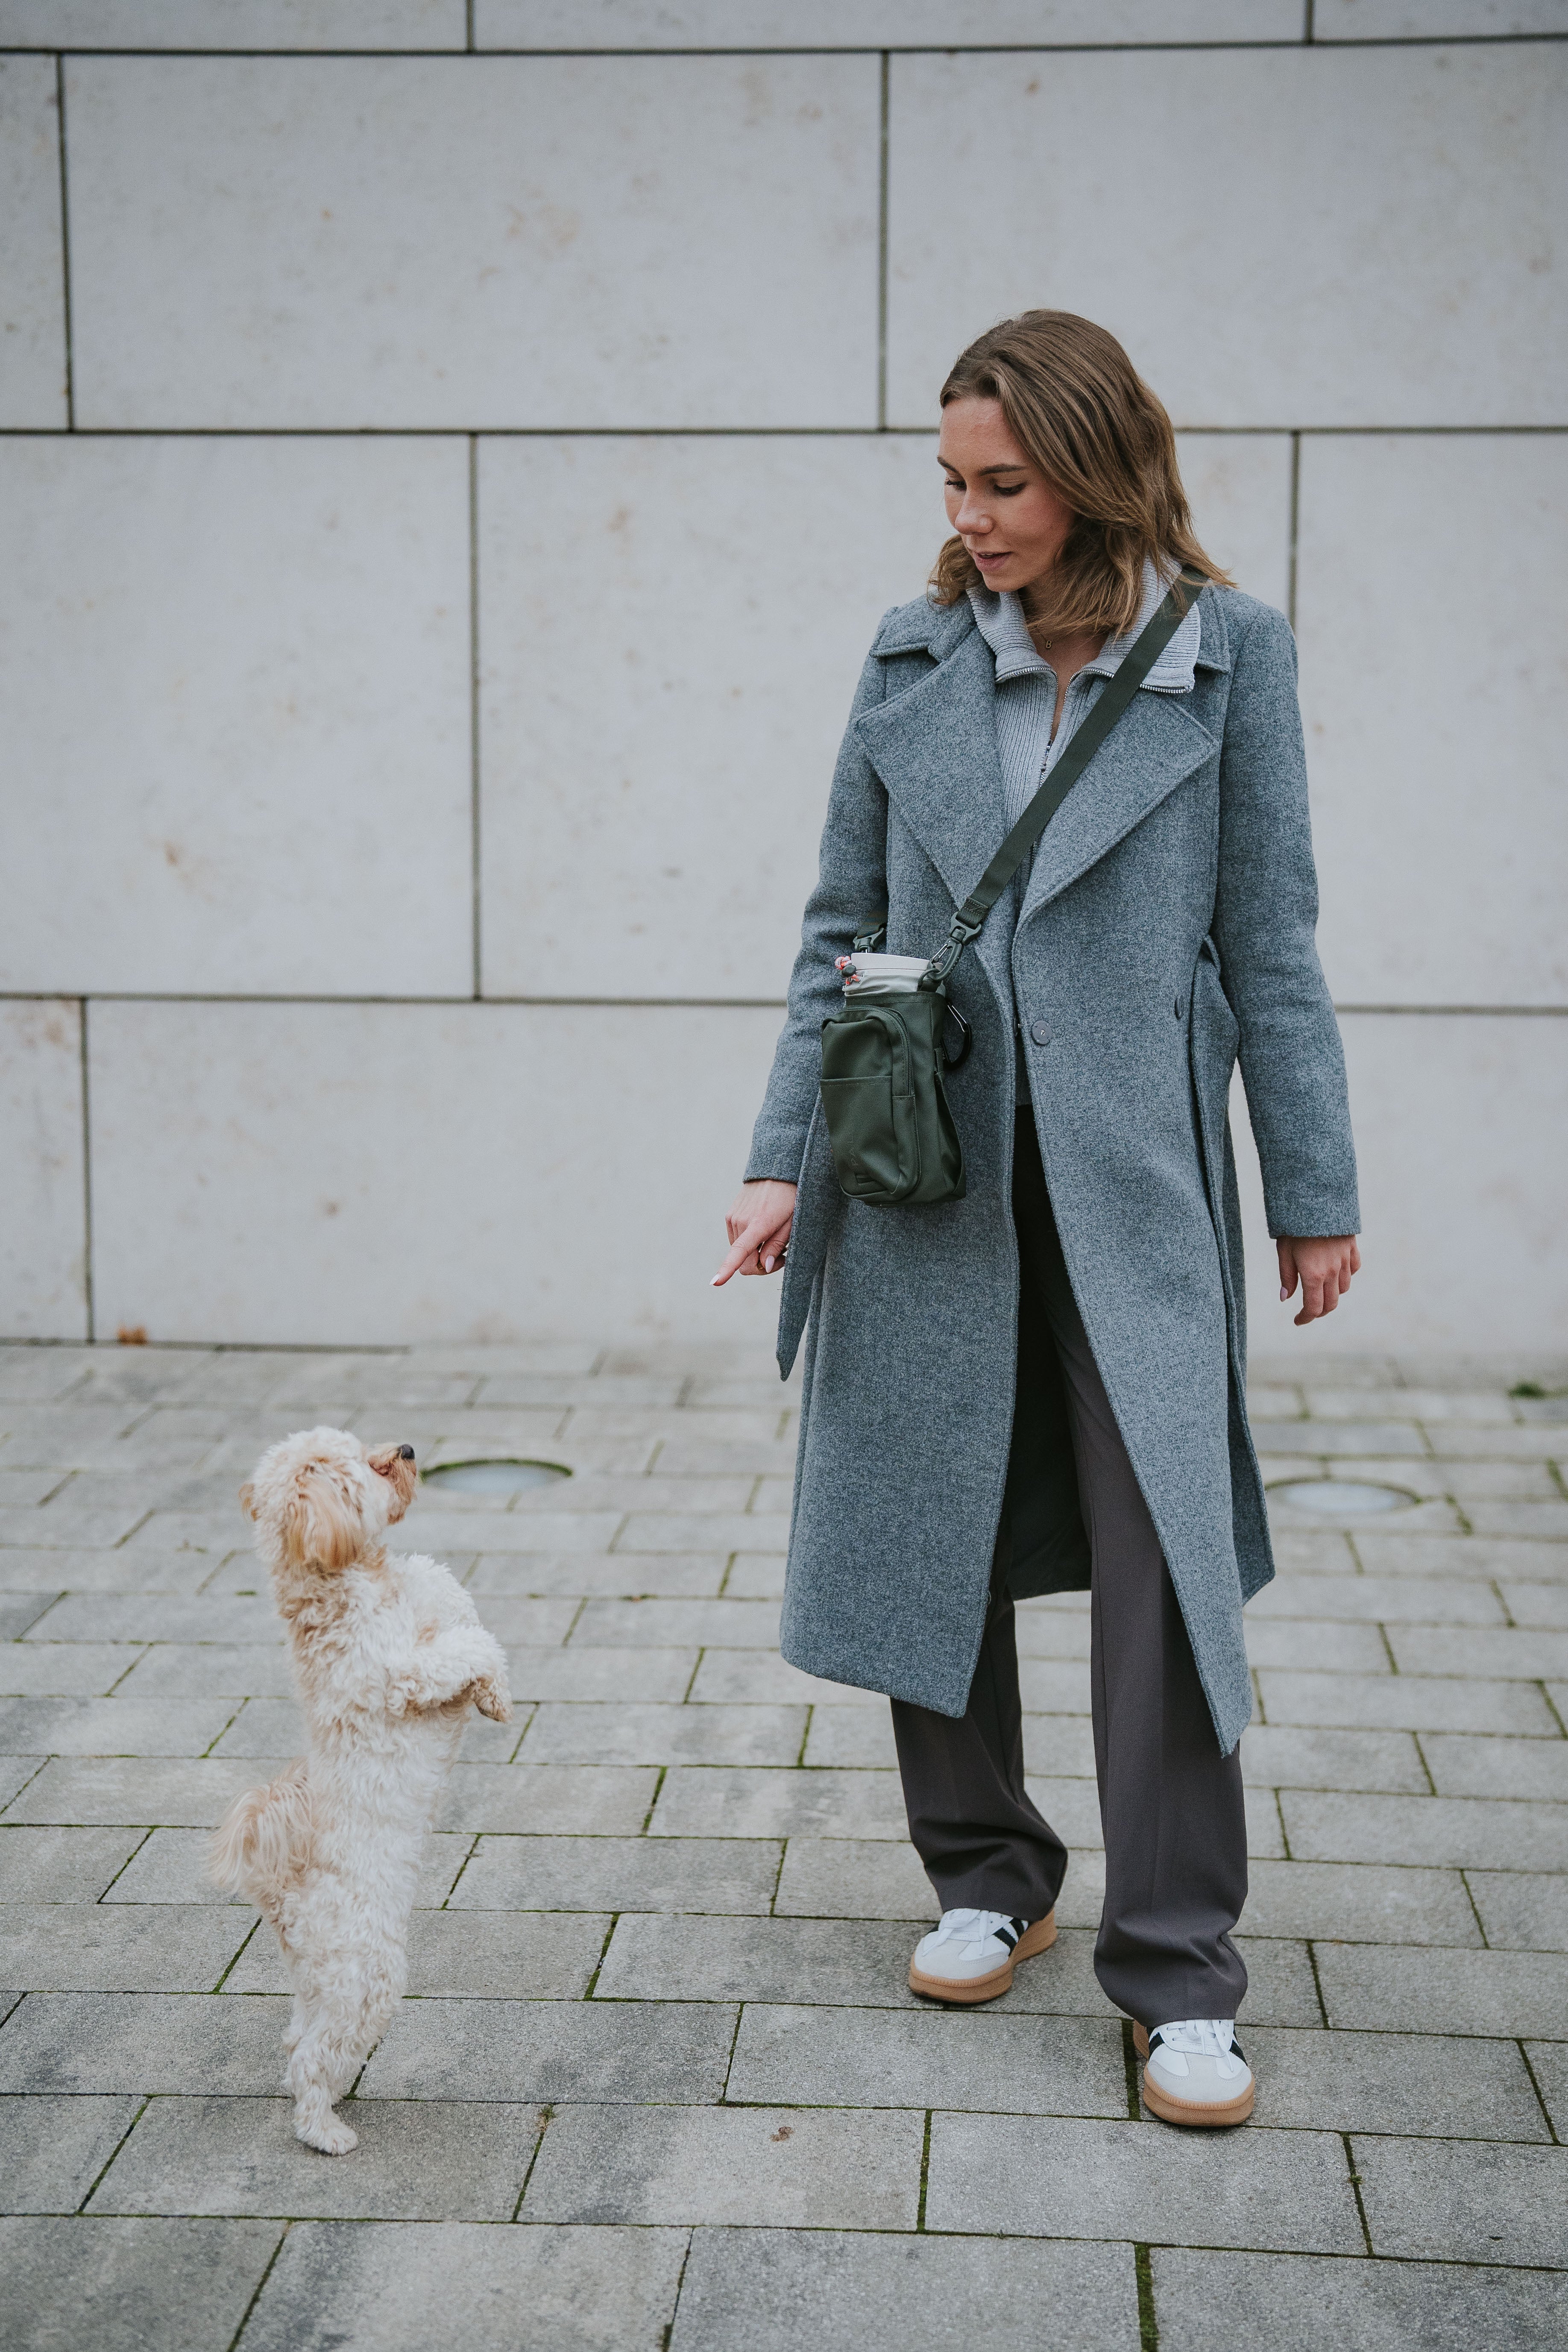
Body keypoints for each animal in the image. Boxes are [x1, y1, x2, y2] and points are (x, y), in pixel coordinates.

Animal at [208, 1420, 512, 2154]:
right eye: (367, 1469)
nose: (404, 1451)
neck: (349, 1583)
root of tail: (280, 1893)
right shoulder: (401, 1672)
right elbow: (470, 1646)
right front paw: (493, 1687)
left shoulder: (421, 1600)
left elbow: (446, 1591)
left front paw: (492, 1691)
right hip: (364, 1975)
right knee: (313, 2056)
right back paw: (324, 2129)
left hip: (319, 1981)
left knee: (297, 2039)